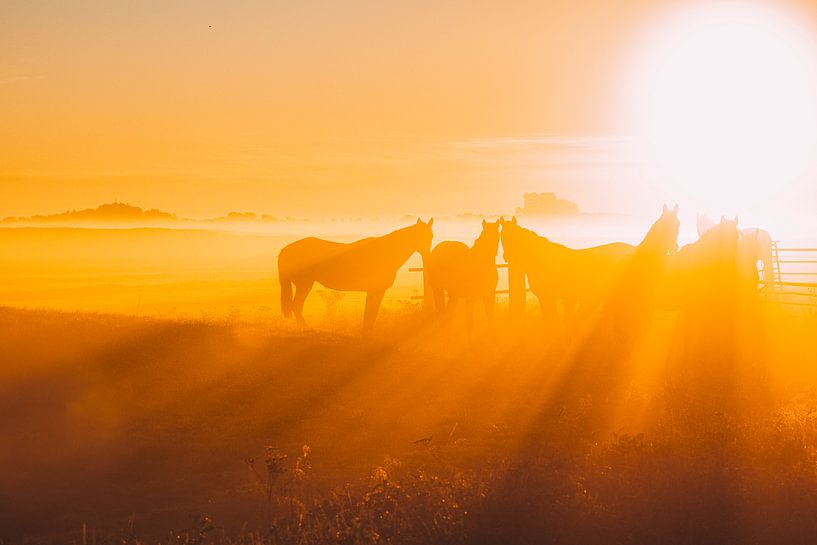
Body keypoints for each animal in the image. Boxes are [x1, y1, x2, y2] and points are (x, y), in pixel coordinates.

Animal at [278, 218, 434, 331]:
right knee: (296, 306)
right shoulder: (375, 290)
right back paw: (305, 329)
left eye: (431, 236)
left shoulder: (376, 291)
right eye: (420, 236)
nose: (428, 255)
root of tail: (285, 250)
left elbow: (371, 313)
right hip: (304, 284)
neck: (385, 253)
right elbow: (370, 313)